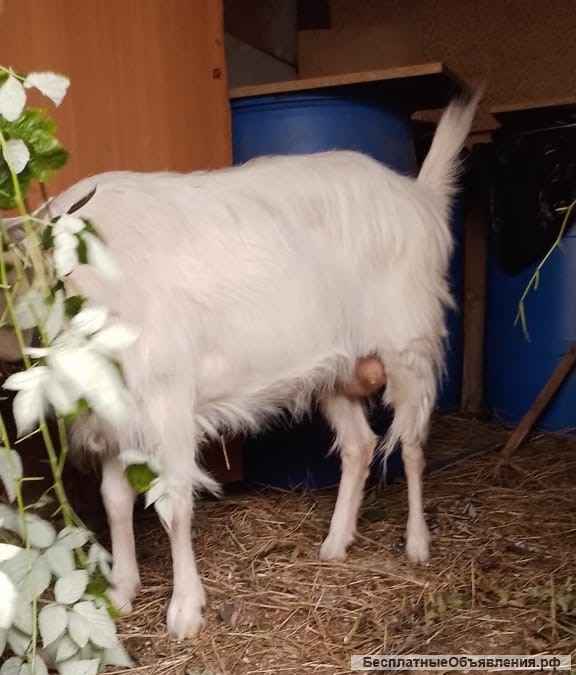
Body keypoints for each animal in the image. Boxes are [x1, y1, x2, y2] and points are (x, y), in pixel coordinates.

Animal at [13, 91, 479, 639]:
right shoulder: (112, 415)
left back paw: (417, 543)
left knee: (411, 444)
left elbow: (174, 504)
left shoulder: (166, 401)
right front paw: (123, 590)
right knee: (360, 445)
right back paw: (335, 543)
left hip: (408, 345)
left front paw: (185, 610)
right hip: (336, 369)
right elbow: (114, 500)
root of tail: (418, 197)